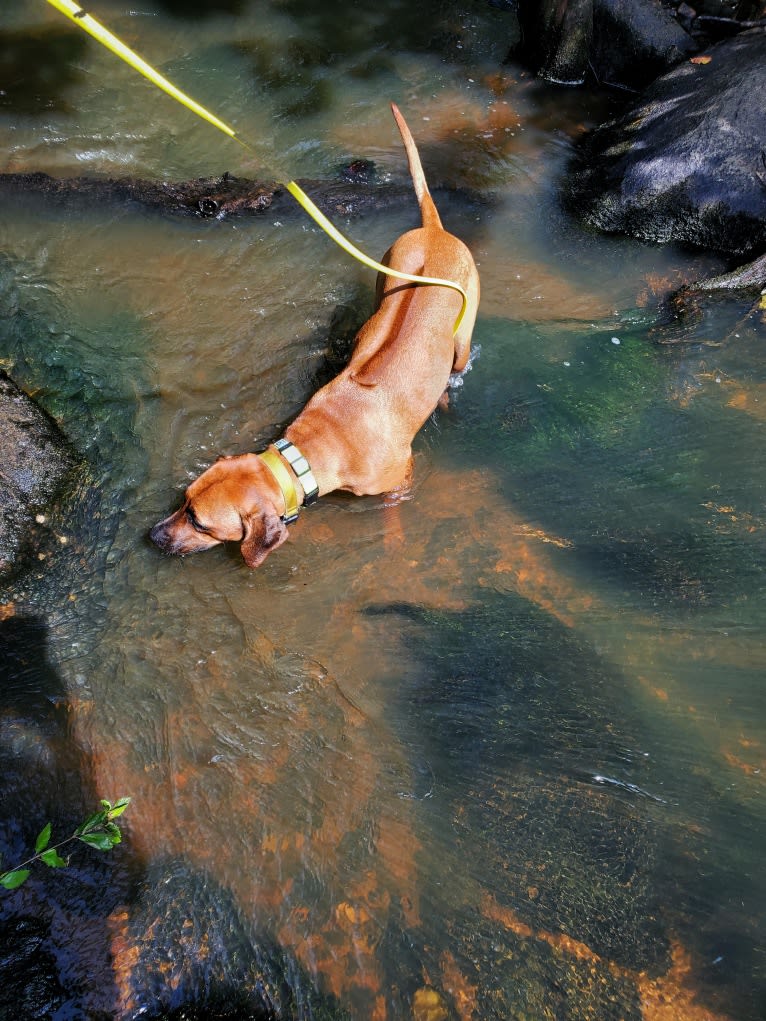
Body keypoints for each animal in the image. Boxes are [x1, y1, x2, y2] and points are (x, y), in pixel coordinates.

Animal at [150, 106, 480, 571]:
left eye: (200, 523)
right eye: (184, 500)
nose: (152, 535)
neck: (317, 447)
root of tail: (435, 230)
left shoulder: (401, 478)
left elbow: (393, 514)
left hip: (463, 338)